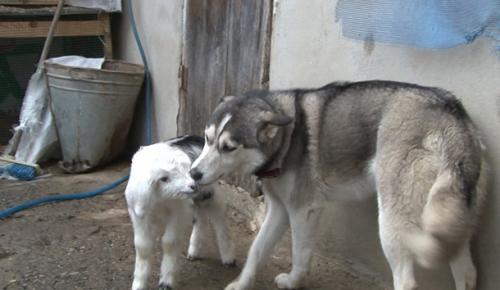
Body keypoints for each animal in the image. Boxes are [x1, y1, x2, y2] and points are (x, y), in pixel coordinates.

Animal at [190, 81, 488, 290]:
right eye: (206, 139)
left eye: (228, 147)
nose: (194, 173)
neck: (288, 138)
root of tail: (451, 115)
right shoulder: (278, 210)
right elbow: (257, 250)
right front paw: (241, 283)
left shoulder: (303, 211)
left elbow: (300, 254)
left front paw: (294, 282)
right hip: (449, 225)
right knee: (467, 273)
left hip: (392, 223)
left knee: (407, 281)